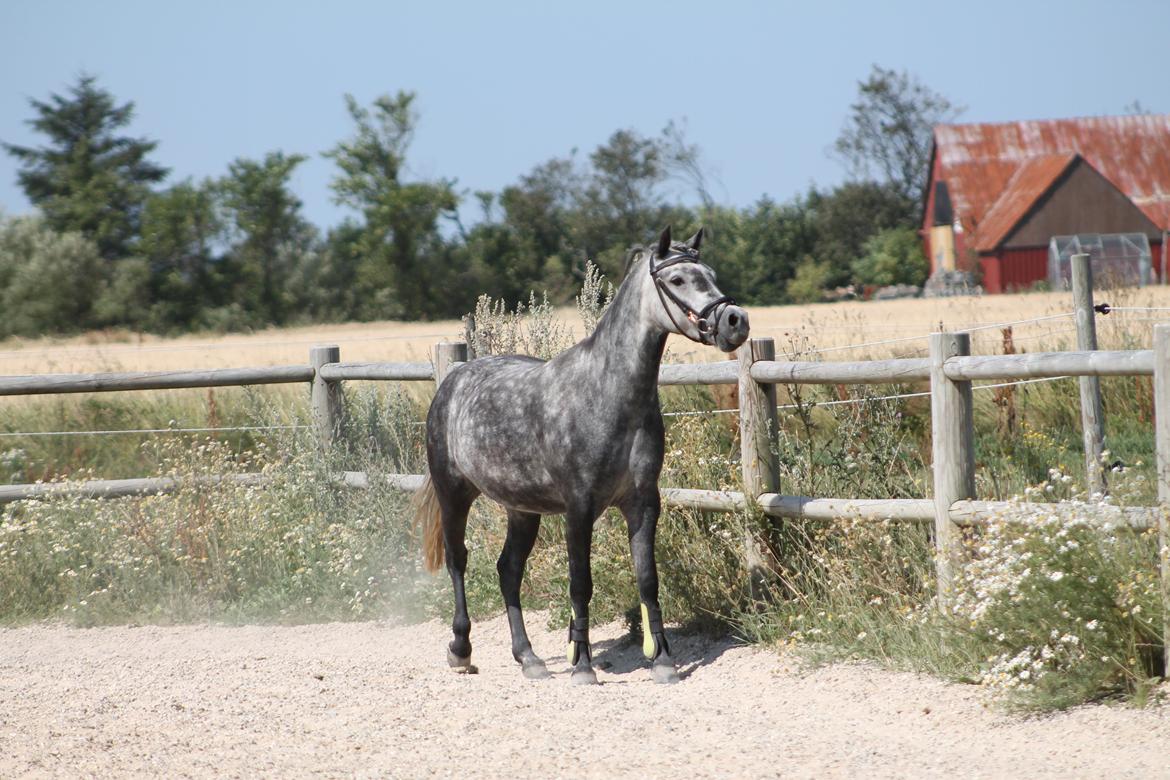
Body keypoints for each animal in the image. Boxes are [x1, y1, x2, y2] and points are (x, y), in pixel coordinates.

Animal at [416, 224, 748, 682]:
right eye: (678, 279)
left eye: (711, 274)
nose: (735, 321)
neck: (607, 394)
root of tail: (455, 378)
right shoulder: (579, 506)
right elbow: (580, 583)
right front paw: (583, 666)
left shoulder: (643, 502)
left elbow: (648, 579)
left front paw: (663, 662)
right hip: (454, 493)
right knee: (458, 561)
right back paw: (462, 651)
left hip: (523, 509)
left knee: (508, 570)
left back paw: (529, 658)